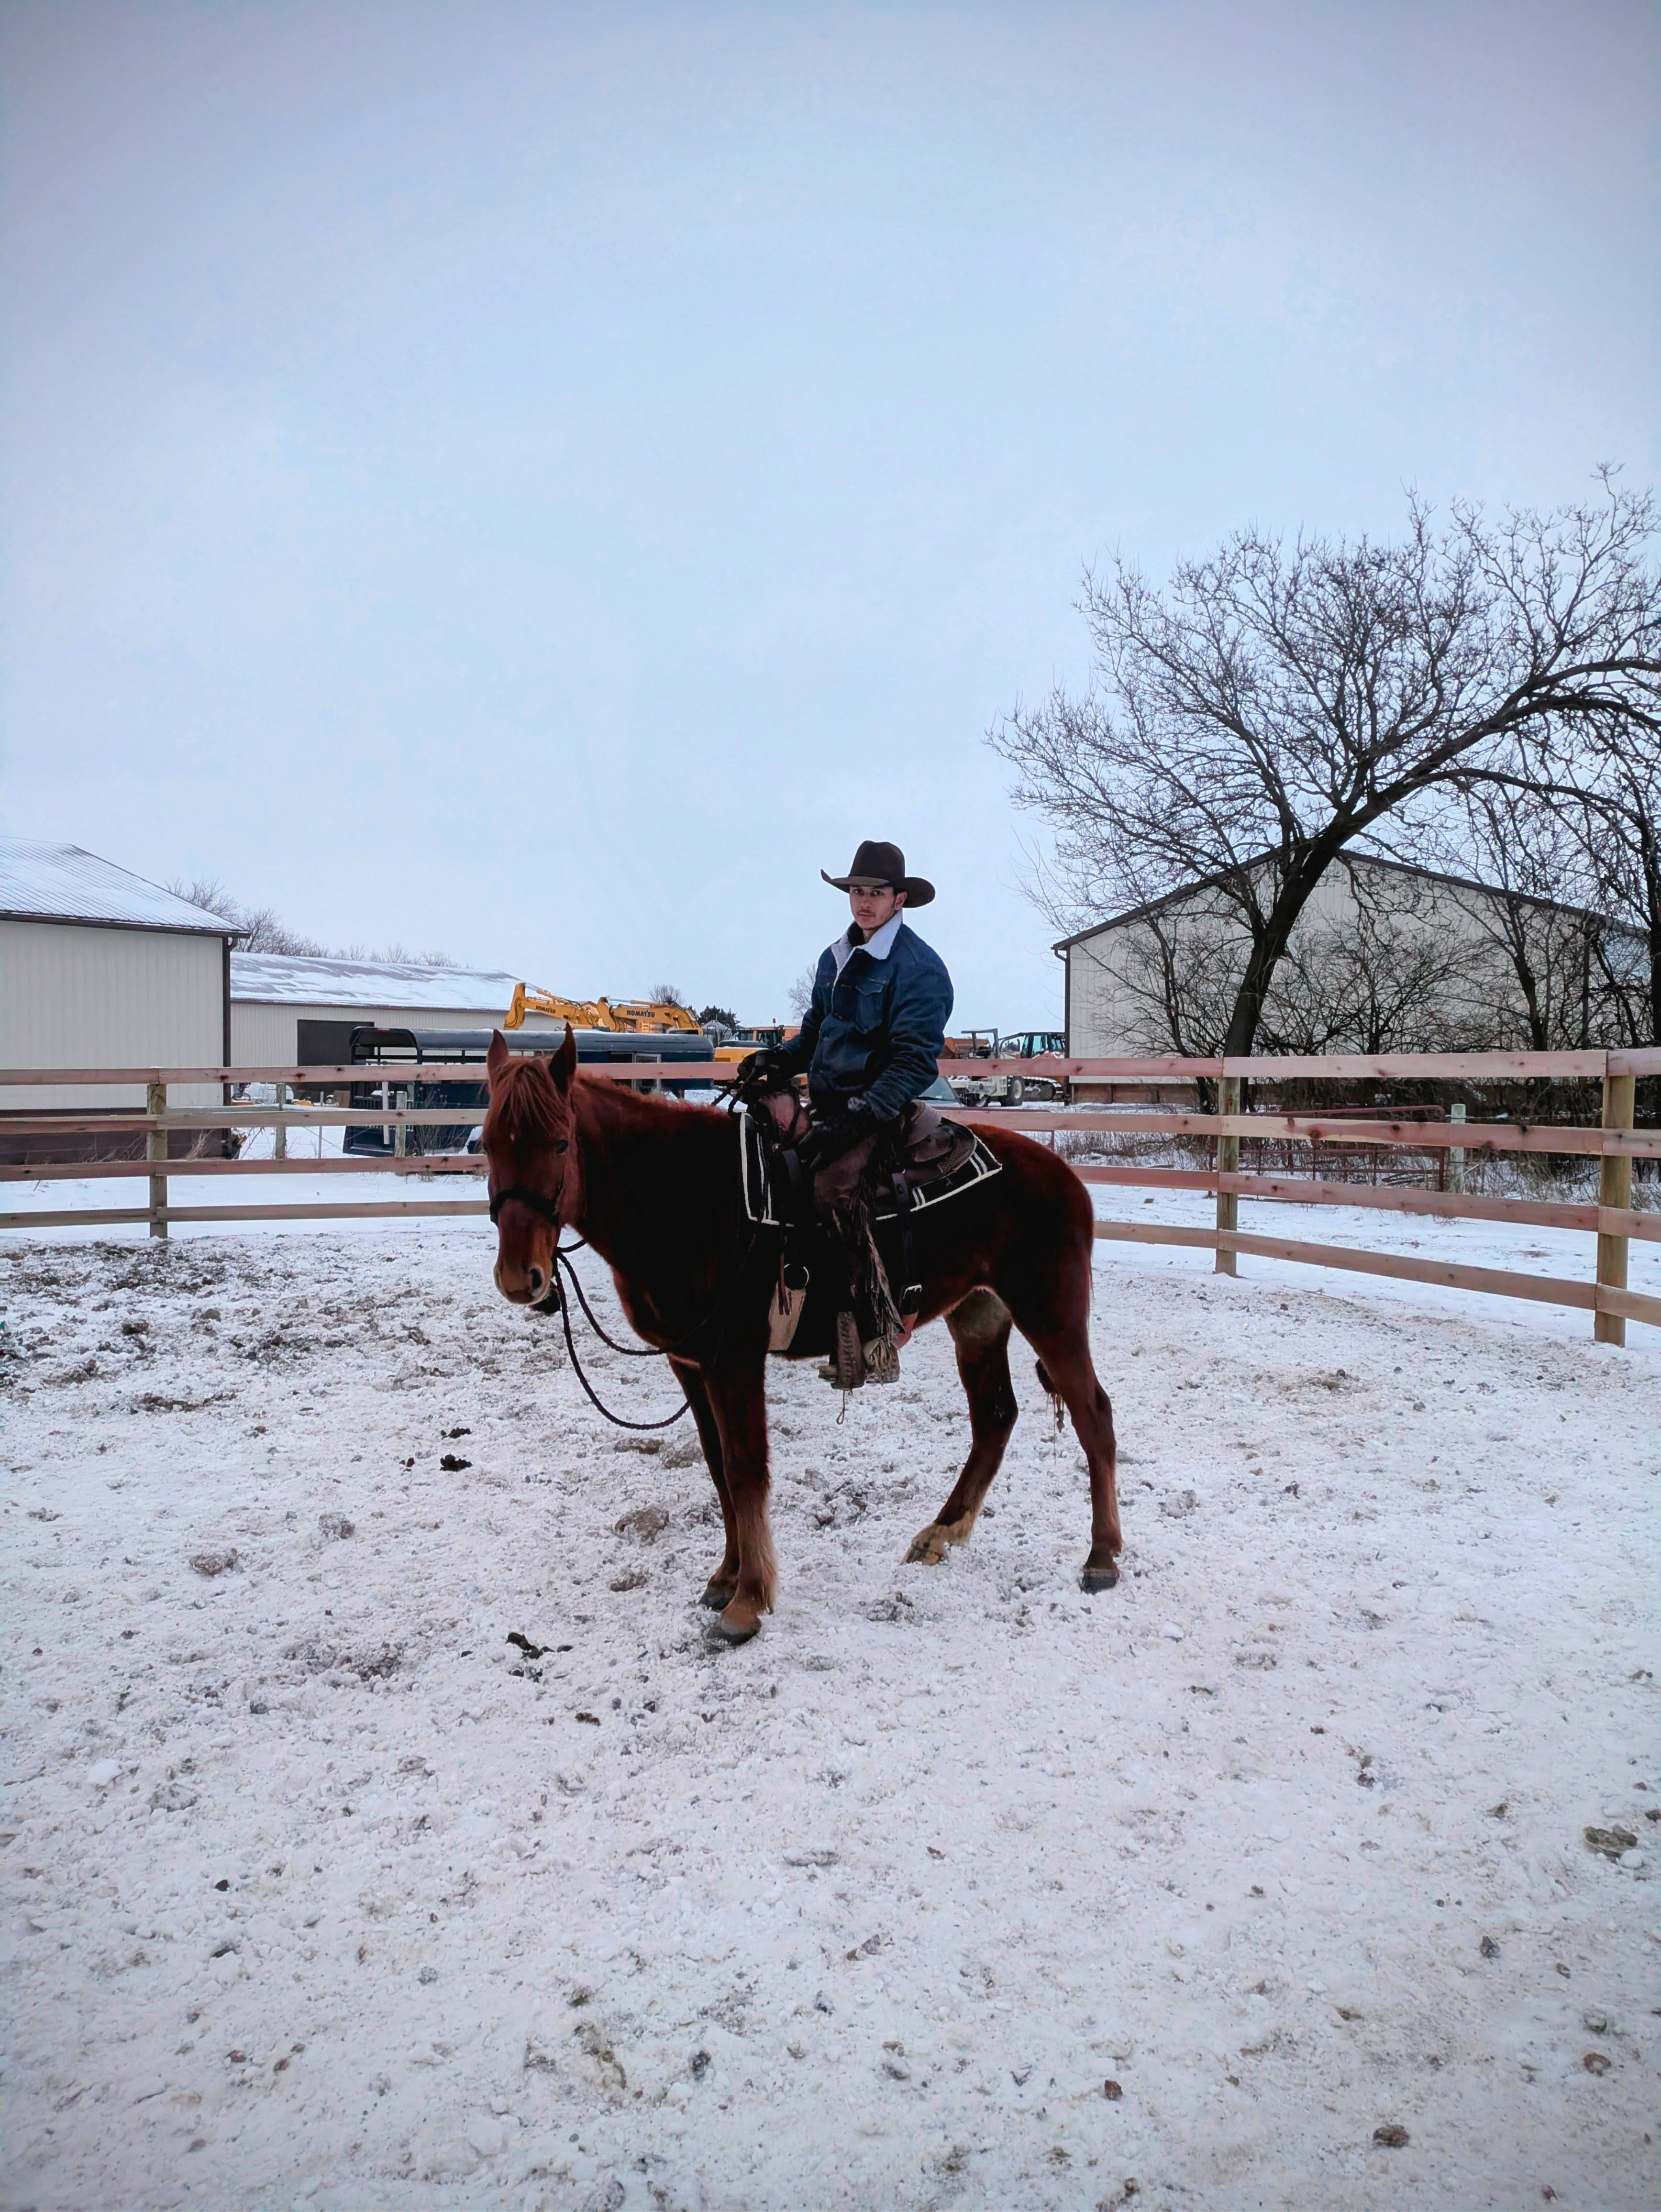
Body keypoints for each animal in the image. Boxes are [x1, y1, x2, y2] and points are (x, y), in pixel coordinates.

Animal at [482, 1026, 1120, 1644]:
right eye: (488, 1144)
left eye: (560, 1144)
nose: (519, 1277)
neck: (686, 1198)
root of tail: (1063, 1174)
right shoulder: (690, 1363)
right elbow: (716, 1465)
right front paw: (726, 1576)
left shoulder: (734, 1358)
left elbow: (744, 1468)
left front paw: (747, 1602)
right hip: (979, 1316)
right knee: (994, 1417)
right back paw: (940, 1533)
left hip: (1051, 1313)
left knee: (1092, 1412)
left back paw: (1102, 1556)